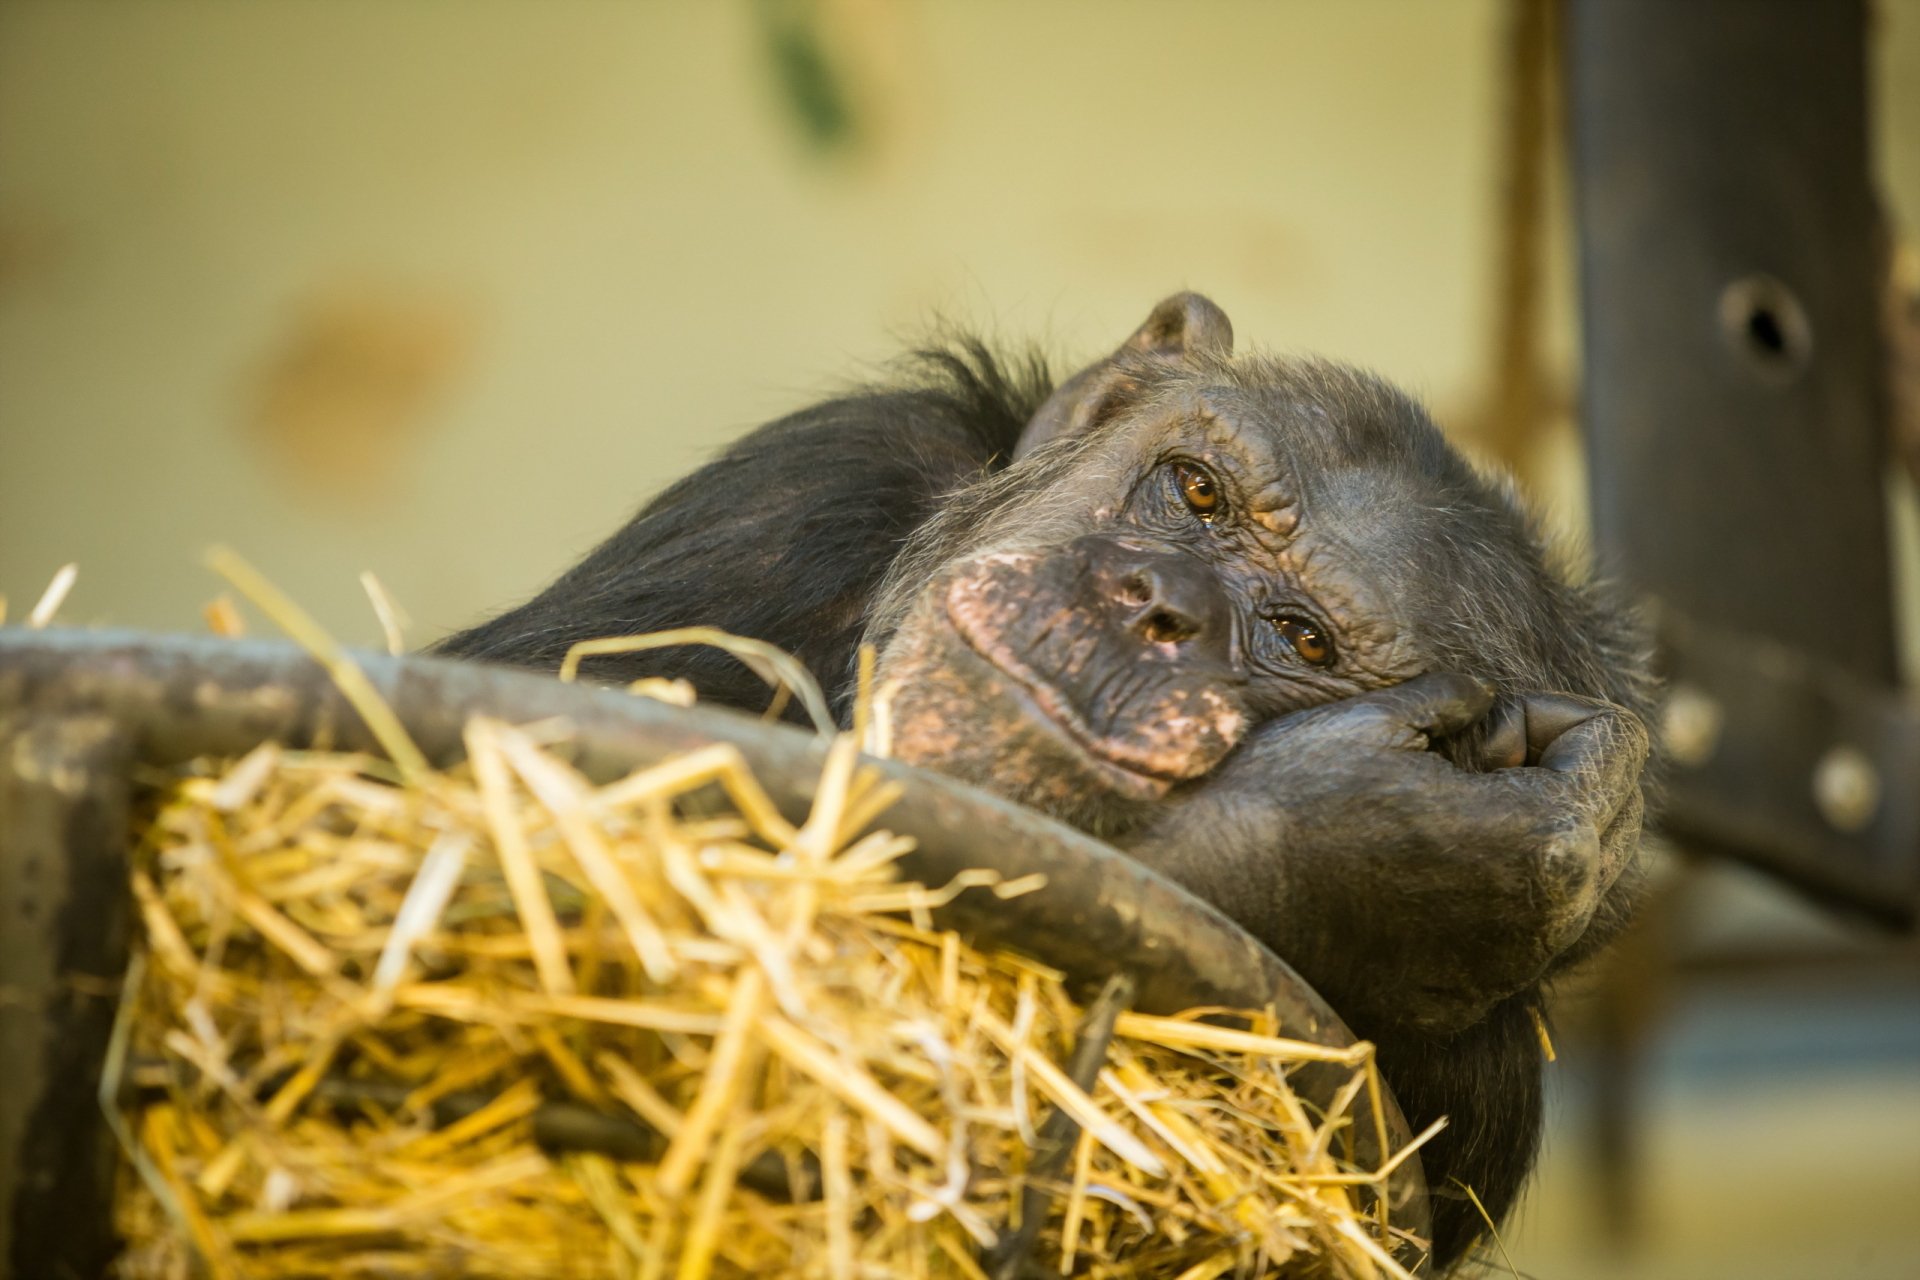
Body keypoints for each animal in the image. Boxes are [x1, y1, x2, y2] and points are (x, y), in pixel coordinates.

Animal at [437, 293, 1656, 1268]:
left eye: (1305, 640)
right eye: (1196, 492)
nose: (1155, 603)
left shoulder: (1481, 1082)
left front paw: (1365, 852)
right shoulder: (810, 484)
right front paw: (1357, 829)